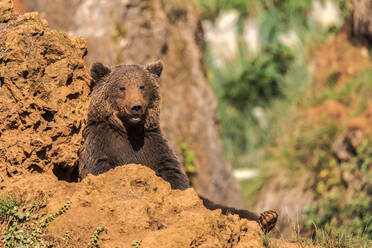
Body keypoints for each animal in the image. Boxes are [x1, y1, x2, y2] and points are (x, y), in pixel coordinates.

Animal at [78, 60, 278, 232]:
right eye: (122, 87)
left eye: (142, 86)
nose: (136, 107)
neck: (129, 130)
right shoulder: (102, 142)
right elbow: (99, 170)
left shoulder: (153, 145)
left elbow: (174, 176)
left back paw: (267, 217)